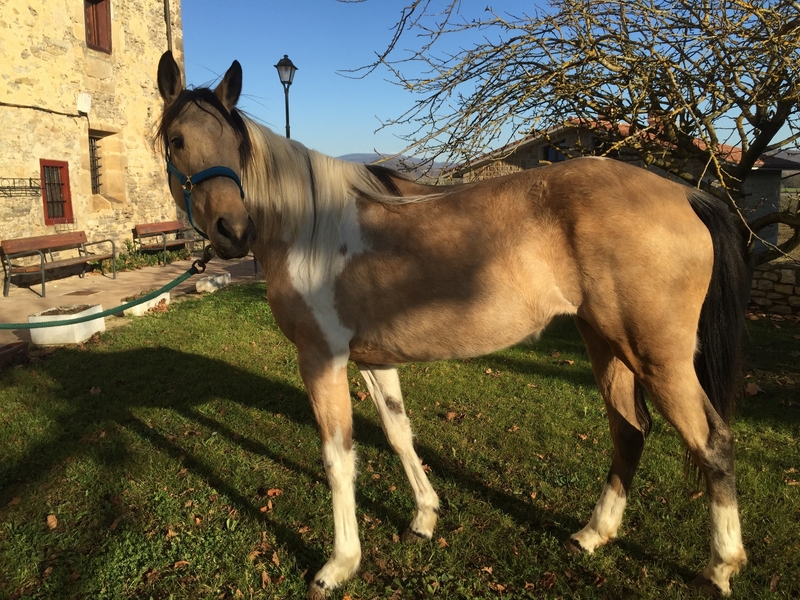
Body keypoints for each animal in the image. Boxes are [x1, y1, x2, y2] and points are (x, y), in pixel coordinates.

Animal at [156, 50, 749, 598]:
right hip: (605, 344)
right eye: (178, 140)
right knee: (629, 430)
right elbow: (398, 433)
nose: (233, 231)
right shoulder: (372, 360)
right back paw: (594, 533)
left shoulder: (321, 357)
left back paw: (721, 566)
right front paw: (425, 516)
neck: (310, 228)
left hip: (657, 357)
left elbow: (338, 458)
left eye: (236, 147)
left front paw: (339, 564)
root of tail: (686, 195)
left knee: (712, 442)